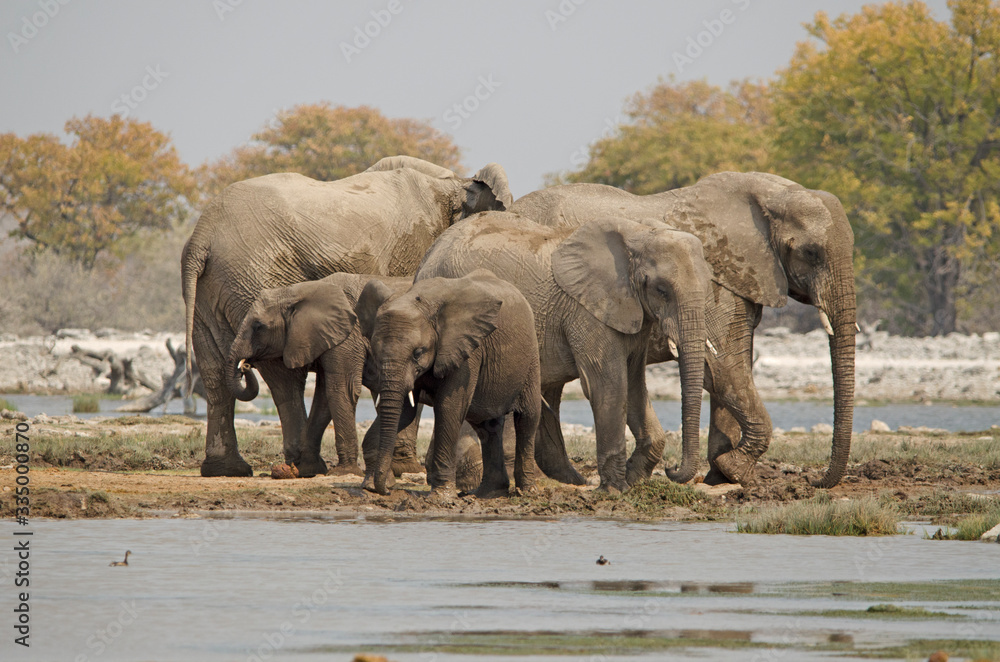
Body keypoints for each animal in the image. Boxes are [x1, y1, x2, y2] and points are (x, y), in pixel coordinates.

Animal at [227, 273, 412, 477]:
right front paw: (306, 469)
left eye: (258, 326)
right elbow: (323, 397)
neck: (298, 290)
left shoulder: (347, 337)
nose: (246, 365)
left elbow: (341, 390)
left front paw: (344, 472)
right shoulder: (327, 340)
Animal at [355, 269, 540, 497]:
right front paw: (372, 486)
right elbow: (405, 411)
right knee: (487, 428)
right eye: (375, 352)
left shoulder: (464, 350)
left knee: (527, 418)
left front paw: (441, 497)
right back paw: (487, 493)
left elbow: (449, 407)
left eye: (418, 353)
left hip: (531, 357)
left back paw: (527, 492)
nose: (387, 491)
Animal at [415, 212, 712, 492]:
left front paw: (633, 478)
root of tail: (428, 255)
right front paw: (615, 489)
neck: (639, 233)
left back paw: (572, 480)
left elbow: (635, 385)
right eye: (662, 290)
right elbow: (607, 385)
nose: (673, 470)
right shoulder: (588, 310)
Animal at [511, 171, 857, 488]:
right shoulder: (719, 283)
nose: (816, 481)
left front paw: (721, 477)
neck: (771, 192)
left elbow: (735, 366)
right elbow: (722, 369)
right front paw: (732, 469)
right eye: (811, 252)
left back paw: (568, 479)